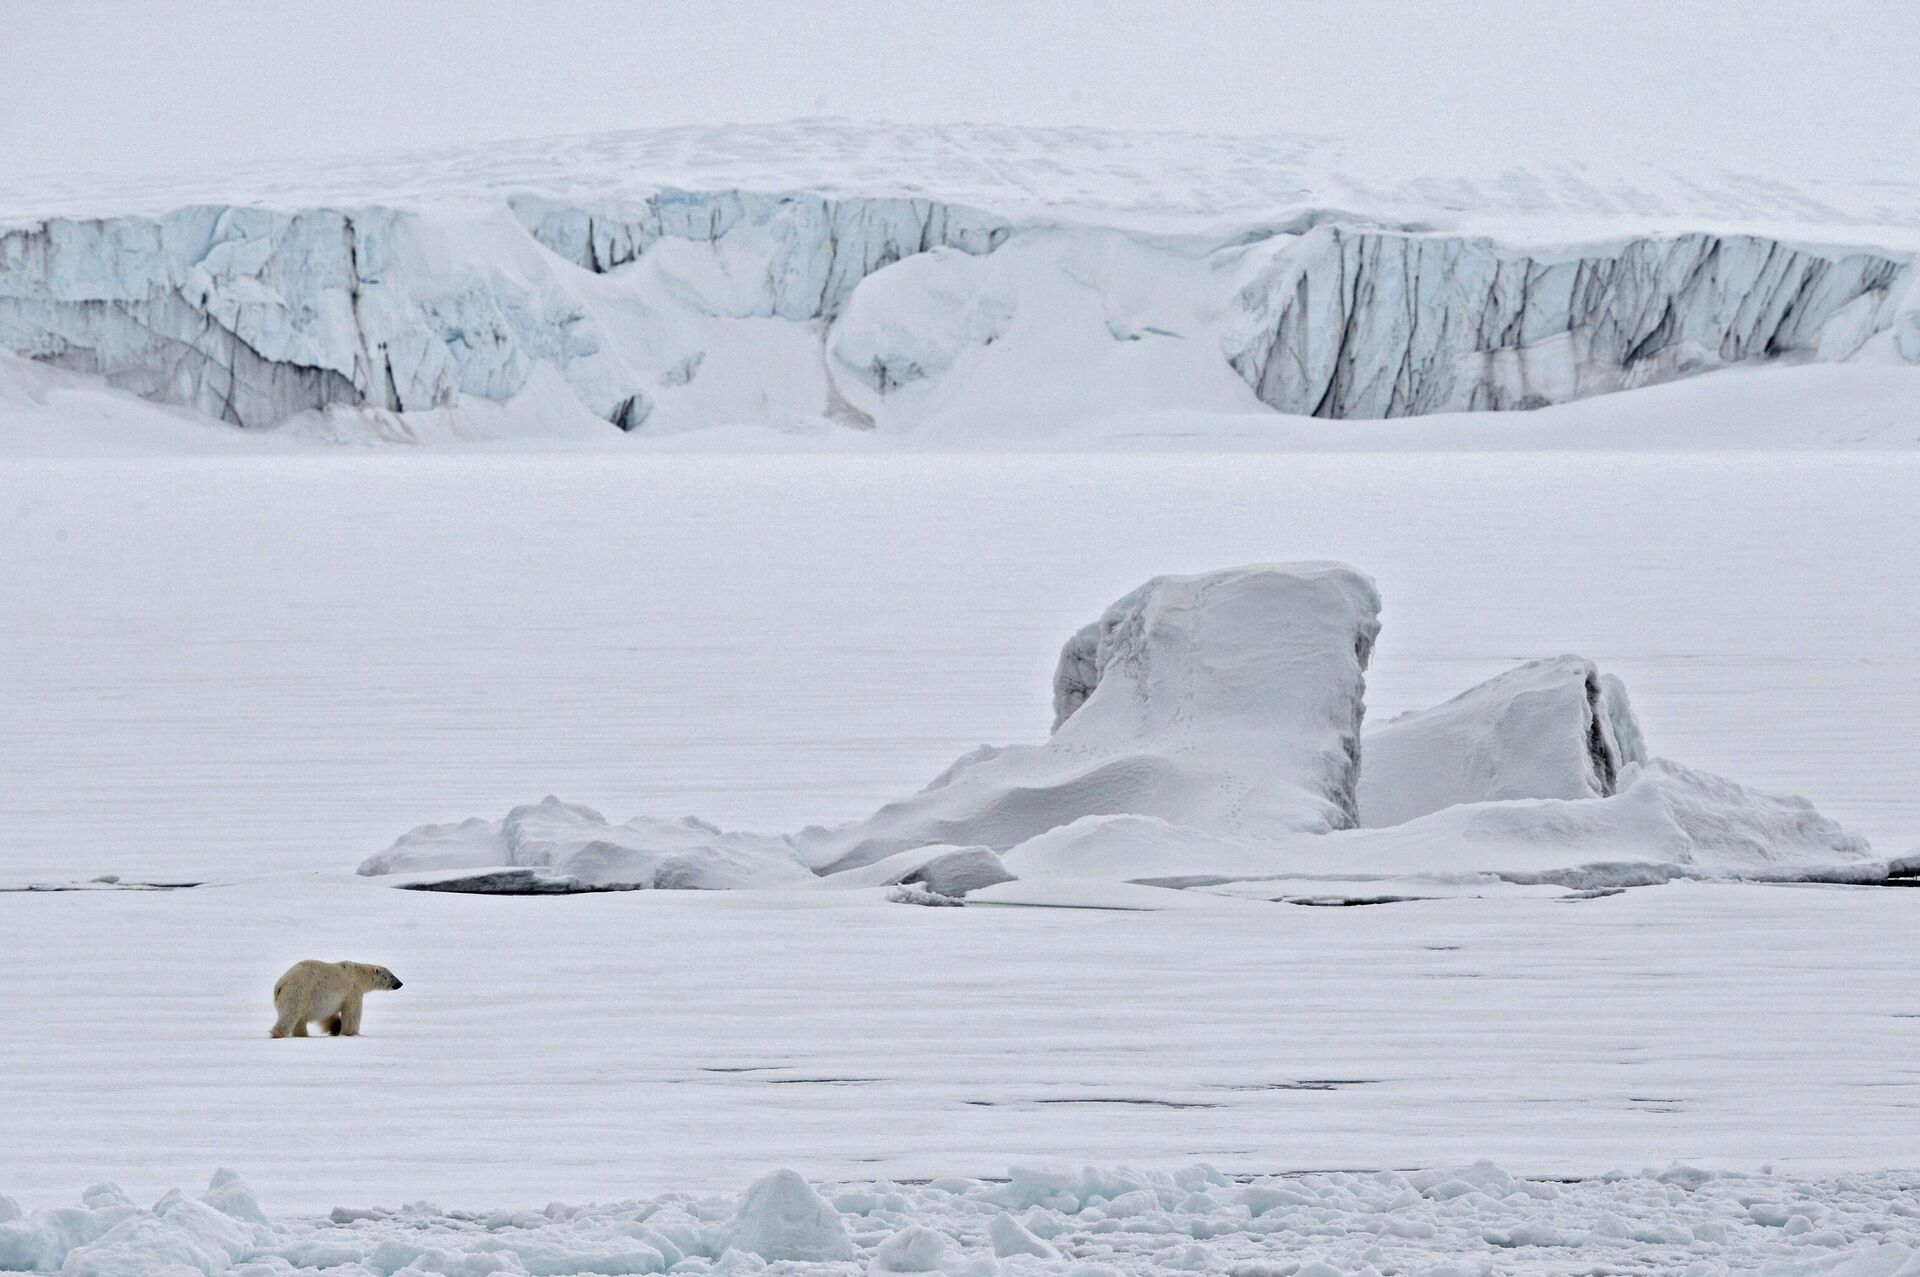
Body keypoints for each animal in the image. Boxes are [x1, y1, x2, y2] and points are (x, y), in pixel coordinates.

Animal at [270, 956, 405, 1036]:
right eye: (391, 975)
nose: (400, 983)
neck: (358, 974)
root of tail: (280, 985)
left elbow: (328, 1015)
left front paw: (336, 1027)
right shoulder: (353, 990)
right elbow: (352, 1013)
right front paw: (350, 1032)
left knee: (299, 1019)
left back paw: (302, 1034)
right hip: (299, 991)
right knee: (290, 1014)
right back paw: (278, 1033)